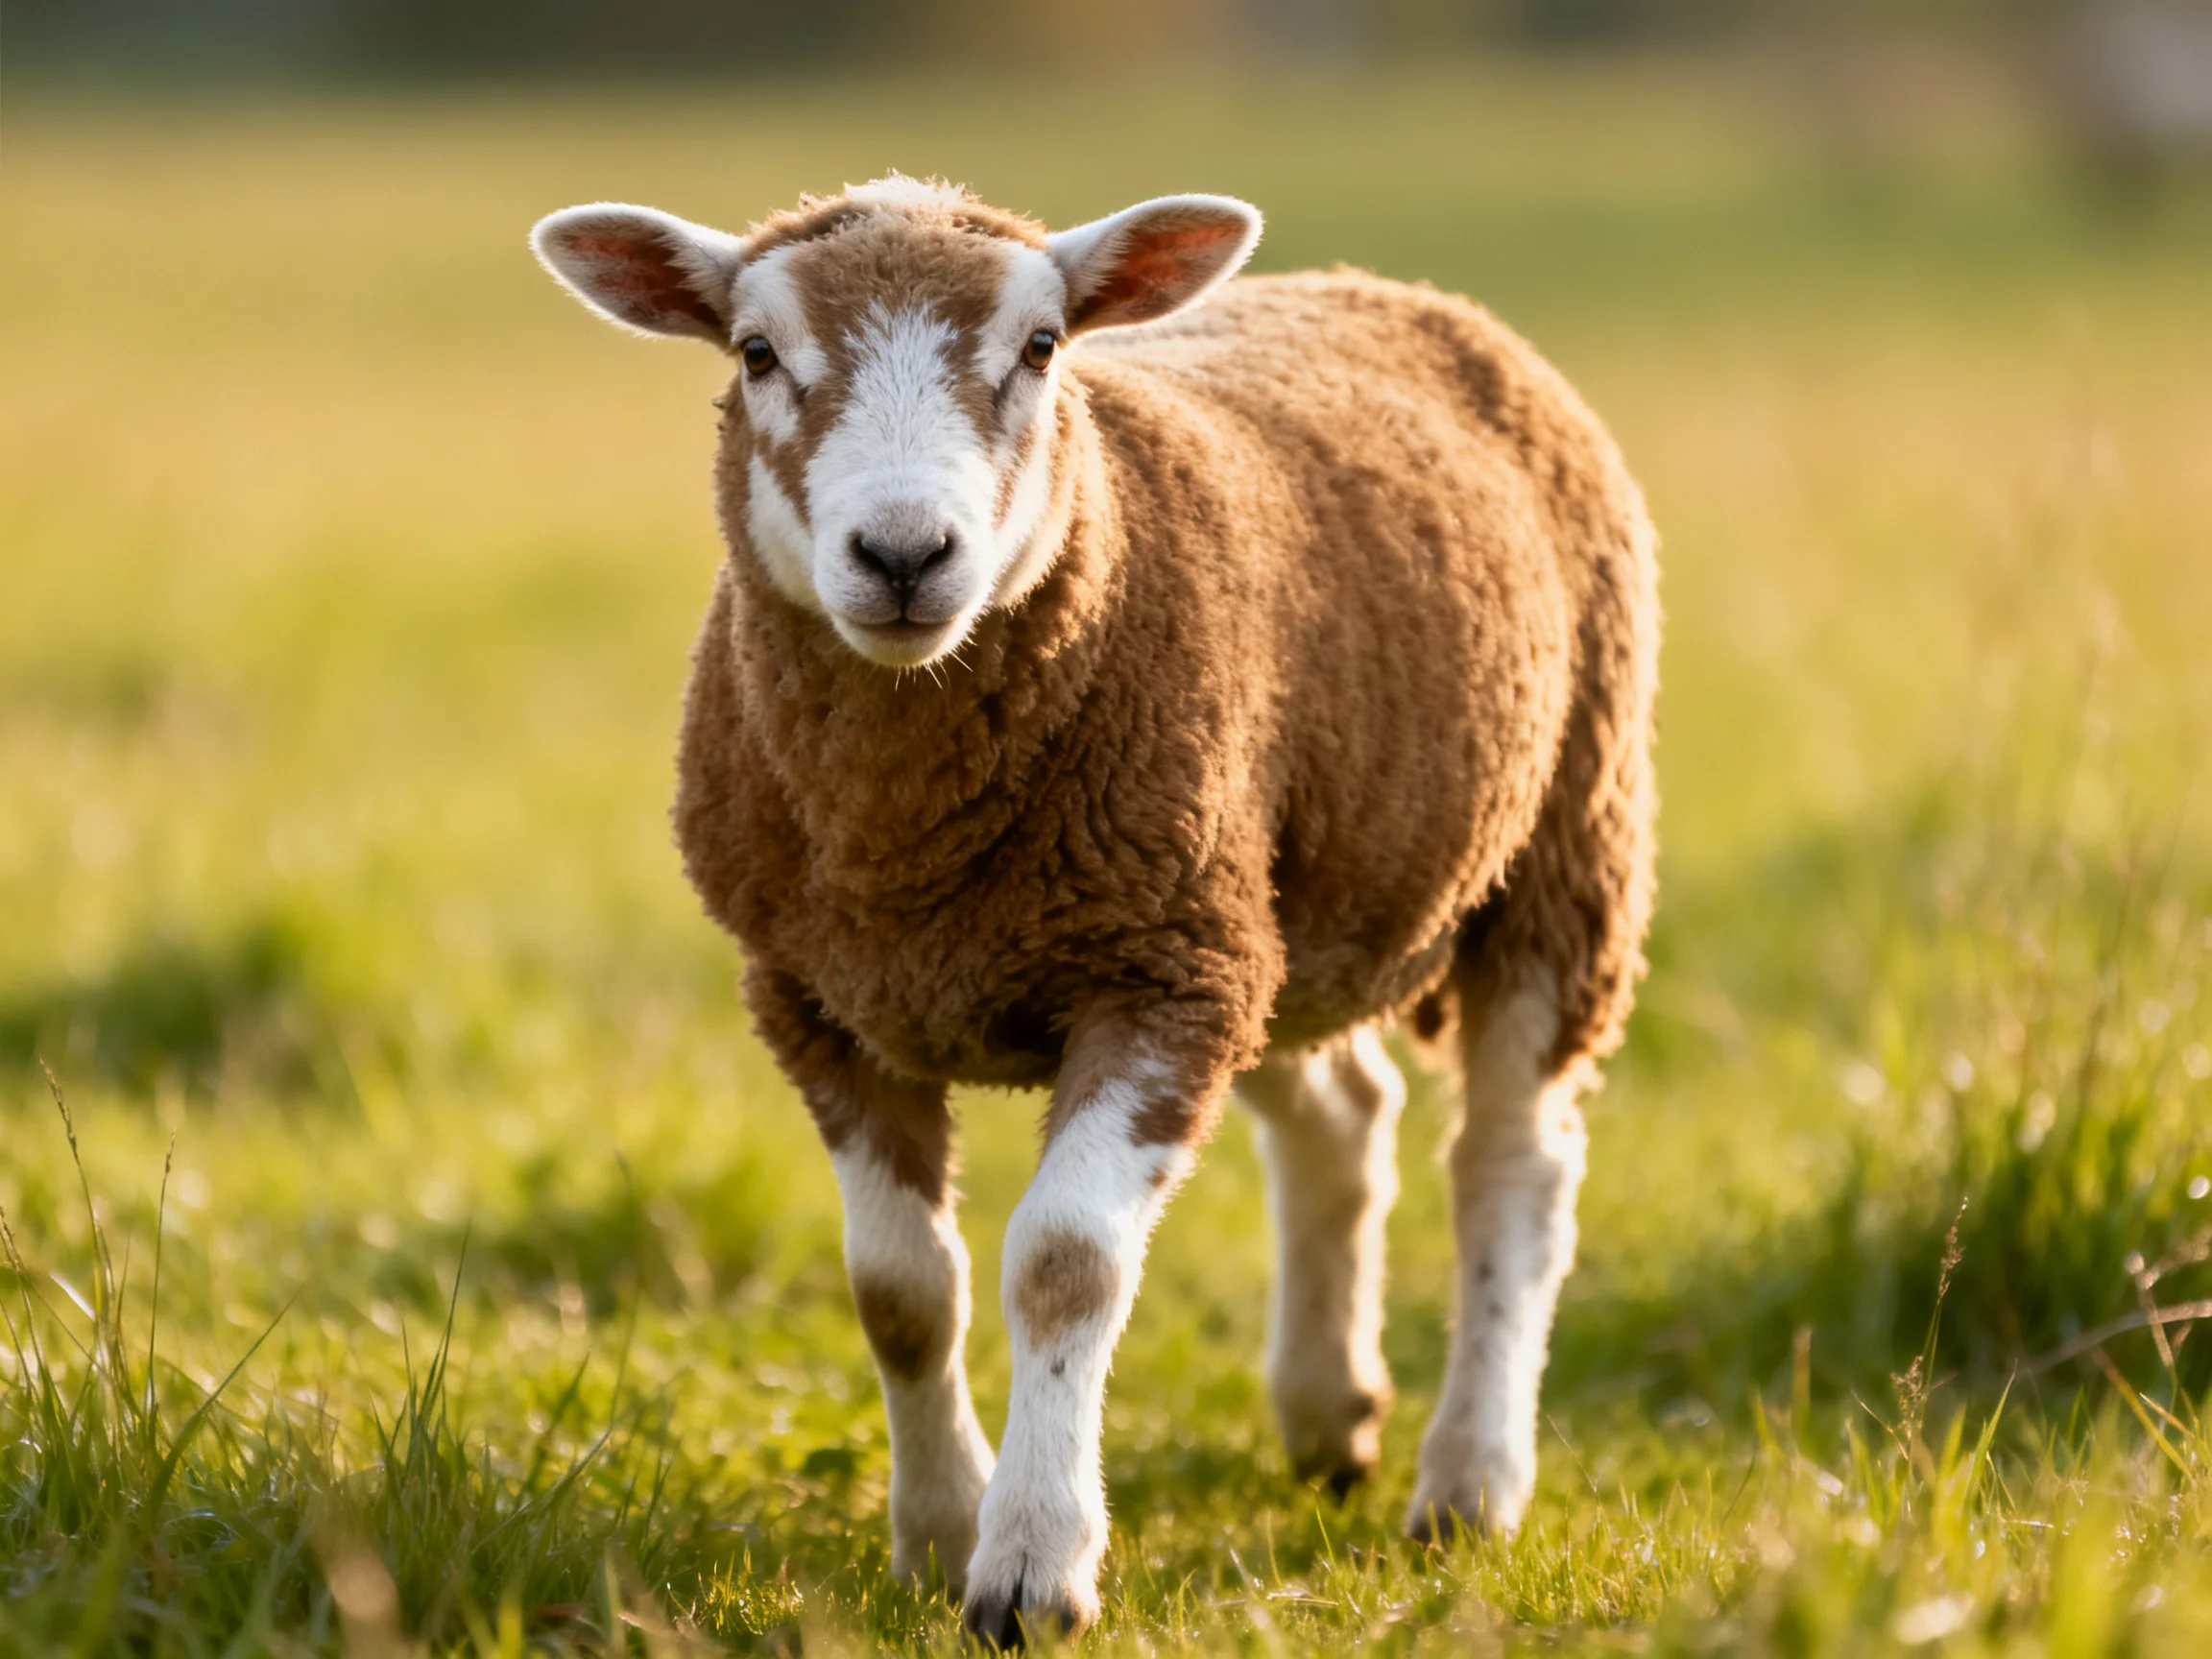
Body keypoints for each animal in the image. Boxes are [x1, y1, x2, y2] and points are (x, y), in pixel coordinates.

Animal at [530, 175, 1658, 1645]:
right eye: (757, 353)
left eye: (1044, 346)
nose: (905, 553)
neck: (912, 848)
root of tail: (1386, 286)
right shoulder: (817, 997)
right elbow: (900, 1292)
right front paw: (933, 1532)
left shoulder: (1153, 980)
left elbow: (1064, 1263)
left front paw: (1028, 1568)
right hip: (1268, 907)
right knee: (1346, 1115)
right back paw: (1327, 1415)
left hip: (1558, 846)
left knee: (1512, 1167)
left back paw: (1469, 1480)